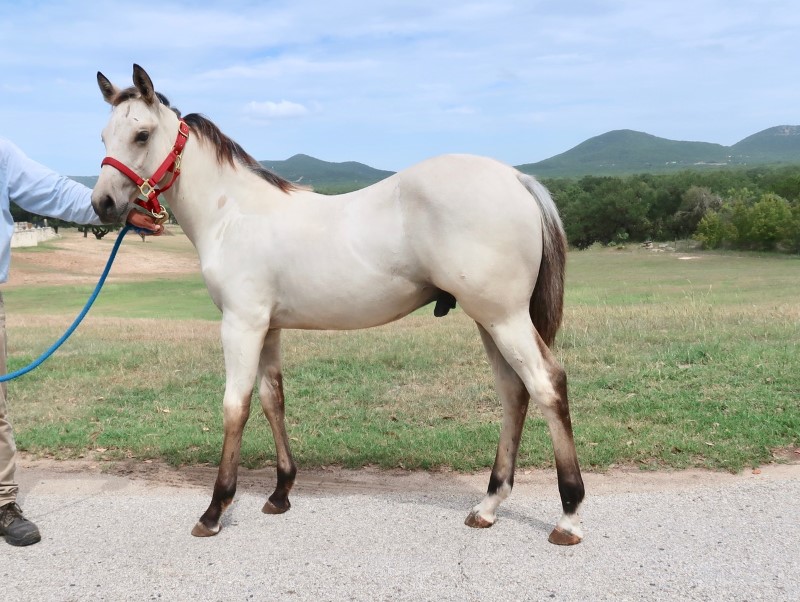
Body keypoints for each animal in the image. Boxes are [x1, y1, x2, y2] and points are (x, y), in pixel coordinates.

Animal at [90, 65, 584, 544]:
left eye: (141, 134)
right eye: (104, 136)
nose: (103, 204)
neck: (233, 213)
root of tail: (516, 178)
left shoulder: (241, 325)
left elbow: (236, 406)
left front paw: (214, 510)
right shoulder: (268, 327)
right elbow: (272, 400)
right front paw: (280, 493)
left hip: (504, 318)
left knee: (546, 384)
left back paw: (568, 516)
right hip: (490, 321)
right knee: (514, 392)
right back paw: (489, 506)